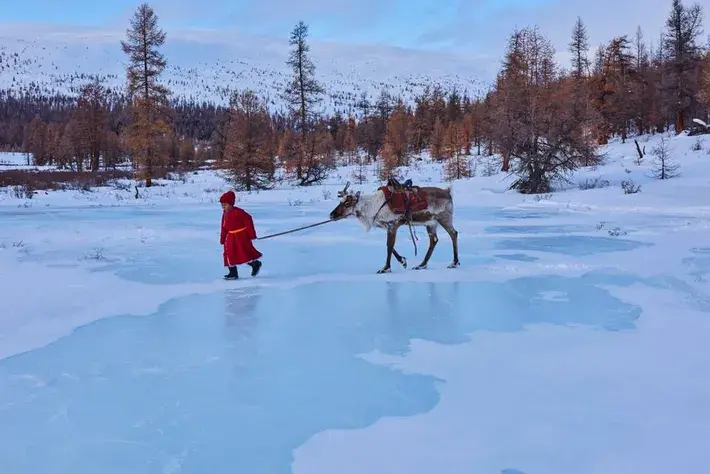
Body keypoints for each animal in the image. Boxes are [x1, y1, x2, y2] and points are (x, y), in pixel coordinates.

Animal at [329, 180, 460, 274]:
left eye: (346, 203)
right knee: (434, 240)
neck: (371, 208)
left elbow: (389, 246)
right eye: (340, 202)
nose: (331, 215)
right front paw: (403, 261)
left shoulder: (393, 224)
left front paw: (385, 268)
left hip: (444, 218)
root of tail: (448, 192)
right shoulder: (387, 226)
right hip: (430, 223)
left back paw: (454, 263)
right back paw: (421, 265)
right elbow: (391, 246)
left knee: (453, 234)